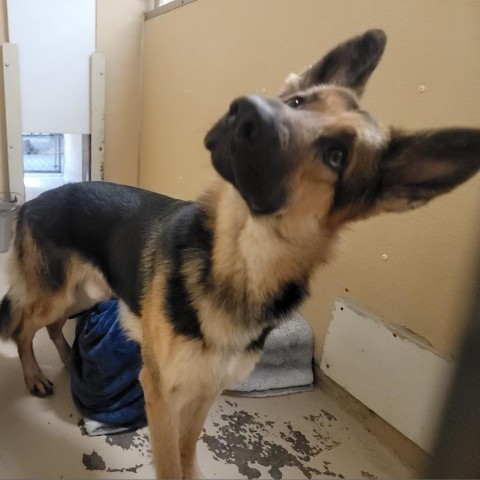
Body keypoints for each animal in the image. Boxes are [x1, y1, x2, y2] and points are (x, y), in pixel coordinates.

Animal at [0, 30, 480, 476]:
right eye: (296, 102)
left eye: (337, 155)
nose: (246, 107)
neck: (238, 267)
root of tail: (30, 204)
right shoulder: (161, 392)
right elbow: (169, 460)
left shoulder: (205, 390)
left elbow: (188, 446)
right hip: (58, 294)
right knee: (23, 328)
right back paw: (35, 376)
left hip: (84, 293)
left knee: (49, 326)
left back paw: (66, 359)